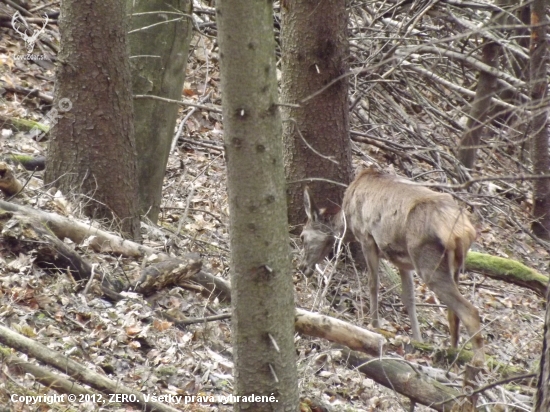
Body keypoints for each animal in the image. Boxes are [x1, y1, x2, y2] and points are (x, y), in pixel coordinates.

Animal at [300, 169, 486, 366]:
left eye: (302, 236)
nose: (302, 266)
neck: (347, 223)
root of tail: (463, 233)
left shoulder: (366, 237)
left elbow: (373, 284)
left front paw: (374, 325)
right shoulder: (403, 260)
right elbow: (409, 298)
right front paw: (418, 339)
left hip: (427, 261)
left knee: (470, 312)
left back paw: (477, 364)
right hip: (454, 265)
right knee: (453, 314)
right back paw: (453, 354)